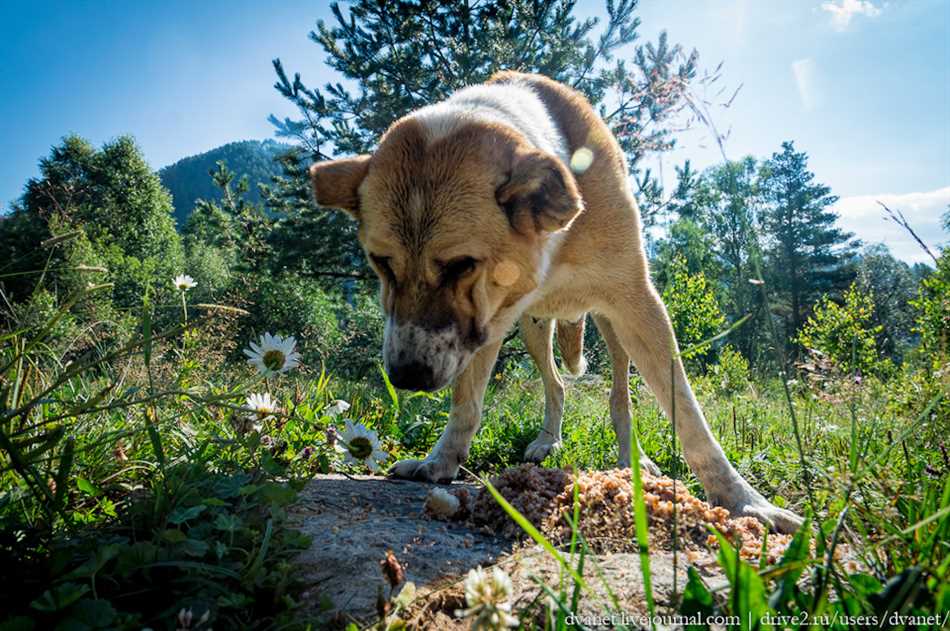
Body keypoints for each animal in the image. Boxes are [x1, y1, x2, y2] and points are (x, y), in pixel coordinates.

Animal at [312, 70, 804, 532]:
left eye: (460, 265)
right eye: (381, 262)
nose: (407, 376)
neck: (557, 238)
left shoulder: (639, 305)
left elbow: (688, 415)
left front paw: (745, 501)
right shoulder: (484, 325)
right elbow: (467, 404)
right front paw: (441, 462)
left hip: (613, 329)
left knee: (620, 400)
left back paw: (633, 458)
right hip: (533, 329)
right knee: (557, 384)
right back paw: (548, 440)